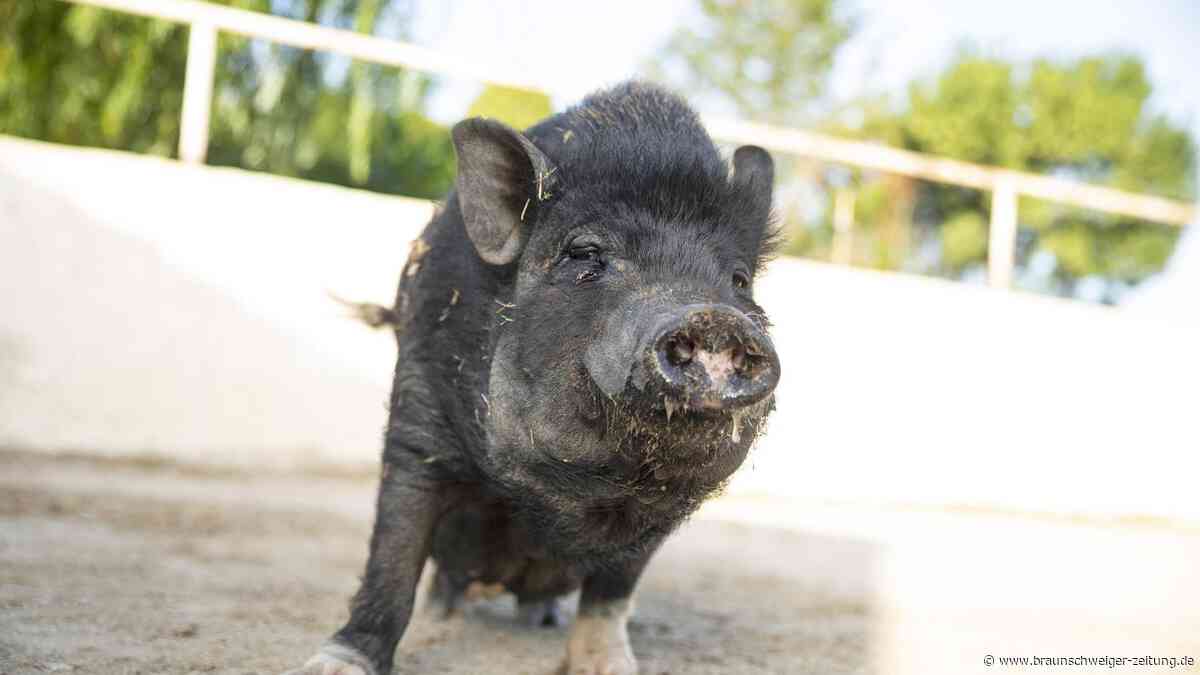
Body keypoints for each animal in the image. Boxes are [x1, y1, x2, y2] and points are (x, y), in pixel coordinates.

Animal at [285, 81, 781, 675]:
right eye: (585, 253)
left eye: (739, 280)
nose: (713, 317)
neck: (564, 497)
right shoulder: (418, 419)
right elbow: (393, 556)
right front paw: (333, 664)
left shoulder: (660, 513)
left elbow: (613, 592)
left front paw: (611, 666)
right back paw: (447, 613)